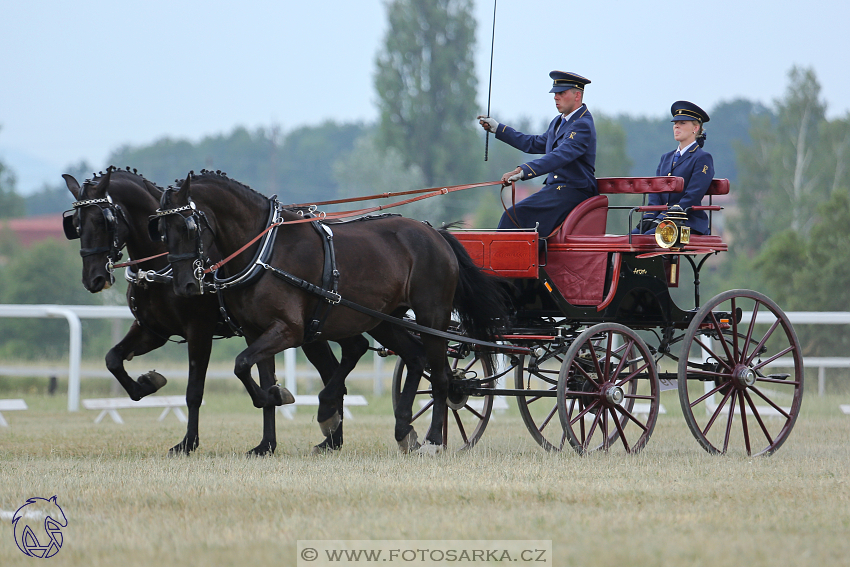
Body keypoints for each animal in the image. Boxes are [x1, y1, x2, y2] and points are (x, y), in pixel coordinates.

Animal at [64, 169, 370, 458]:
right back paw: (331, 438)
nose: (93, 279)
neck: (163, 264)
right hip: (317, 331)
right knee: (340, 364)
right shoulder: (153, 331)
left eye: (103, 221)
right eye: (76, 224)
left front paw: (188, 443)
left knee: (347, 358)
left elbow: (194, 391)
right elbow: (113, 359)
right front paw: (146, 384)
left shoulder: (199, 330)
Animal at [153, 171, 506, 454]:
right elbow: (251, 371)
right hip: (383, 318)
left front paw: (297, 405)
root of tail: (436, 234)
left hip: (432, 314)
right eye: (162, 230)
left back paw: (432, 439)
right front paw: (270, 418)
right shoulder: (256, 332)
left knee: (442, 376)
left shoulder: (289, 329)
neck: (264, 251)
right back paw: (403, 429)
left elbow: (241, 364)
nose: (184, 286)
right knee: (415, 357)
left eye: (189, 226)